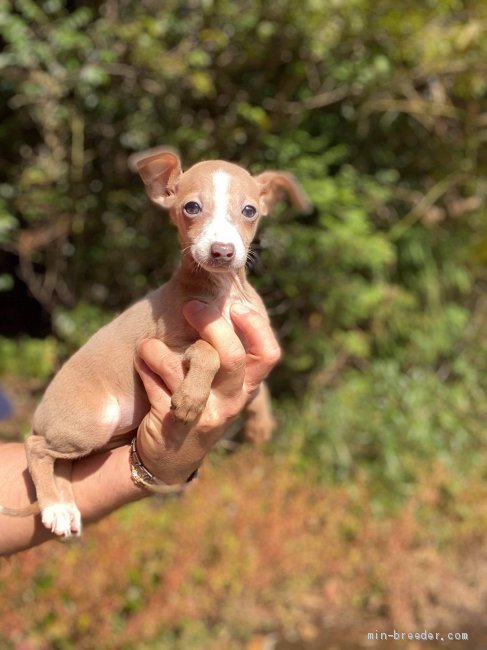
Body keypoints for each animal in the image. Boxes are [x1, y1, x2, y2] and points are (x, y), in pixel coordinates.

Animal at [0, 152, 310, 536]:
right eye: (192, 207)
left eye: (250, 210)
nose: (222, 252)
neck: (223, 291)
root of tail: (41, 415)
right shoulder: (171, 345)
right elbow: (208, 350)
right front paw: (191, 400)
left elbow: (257, 382)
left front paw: (261, 420)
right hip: (91, 424)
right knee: (36, 447)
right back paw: (53, 506)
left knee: (62, 464)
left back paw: (65, 507)